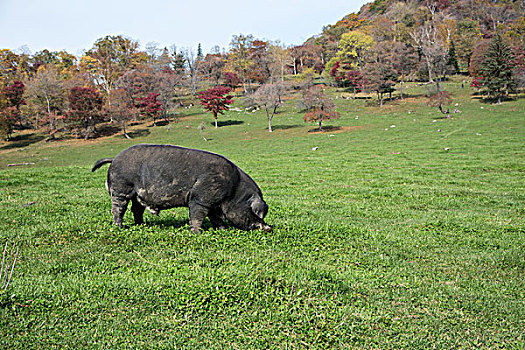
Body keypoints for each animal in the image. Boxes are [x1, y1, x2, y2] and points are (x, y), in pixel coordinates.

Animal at [91, 144, 270, 234]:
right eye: (254, 212)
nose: (269, 227)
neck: (233, 191)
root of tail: (114, 158)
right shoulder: (200, 199)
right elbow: (197, 216)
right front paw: (197, 233)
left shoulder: (213, 204)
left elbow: (216, 219)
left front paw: (223, 230)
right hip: (121, 188)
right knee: (118, 208)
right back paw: (119, 227)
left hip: (137, 195)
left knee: (137, 209)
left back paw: (141, 225)